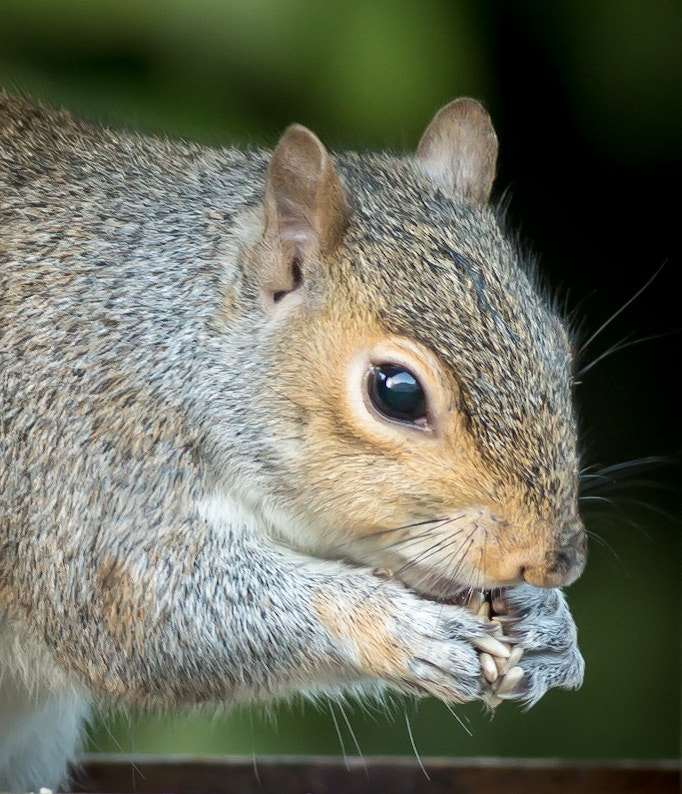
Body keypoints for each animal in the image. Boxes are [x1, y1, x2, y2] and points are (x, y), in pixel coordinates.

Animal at [0, 96, 584, 788]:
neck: (175, 341)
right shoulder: (80, 461)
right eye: (397, 392)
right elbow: (144, 609)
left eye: (559, 345)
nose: (557, 561)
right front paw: (400, 626)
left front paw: (550, 626)